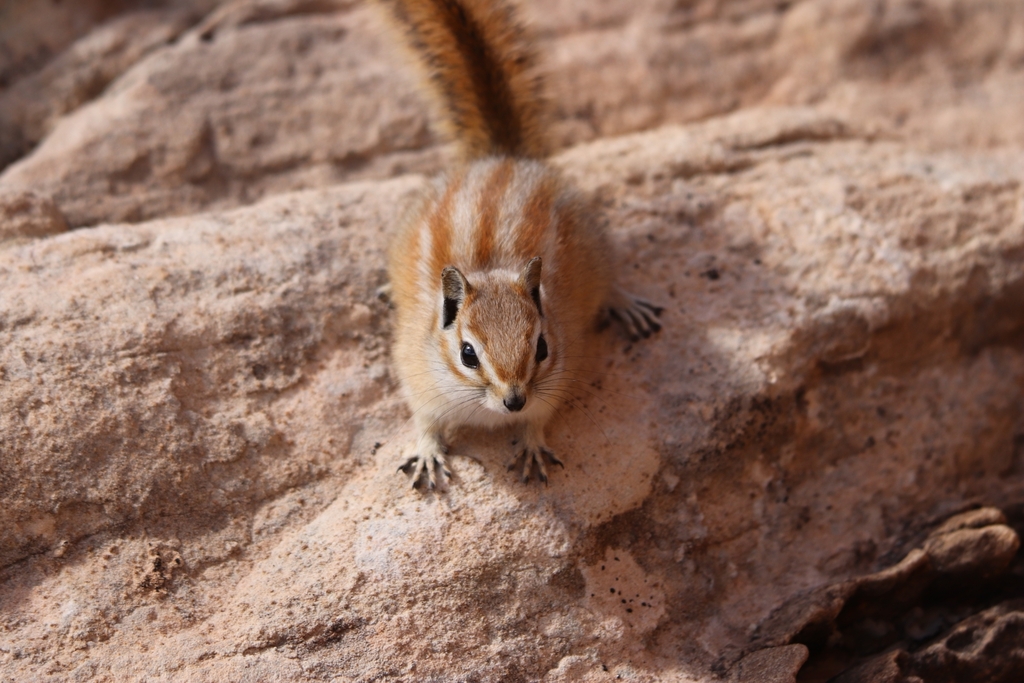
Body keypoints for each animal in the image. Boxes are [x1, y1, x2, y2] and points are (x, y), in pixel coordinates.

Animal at [377, 0, 662, 489]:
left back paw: (628, 305)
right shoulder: (417, 375)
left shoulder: (556, 380)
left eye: (542, 348)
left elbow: (540, 419)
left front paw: (531, 445)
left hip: (596, 245)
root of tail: (501, 155)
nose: (514, 400)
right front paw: (428, 453)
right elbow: (424, 420)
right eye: (467, 354)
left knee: (610, 280)